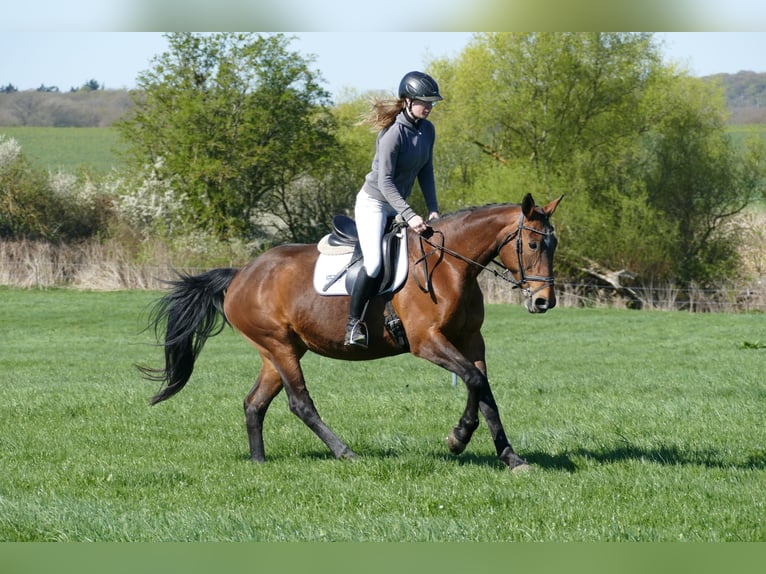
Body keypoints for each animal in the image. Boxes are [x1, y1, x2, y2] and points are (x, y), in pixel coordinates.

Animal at [140, 193, 562, 471]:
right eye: (532, 243)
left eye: (554, 243)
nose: (545, 301)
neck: (451, 267)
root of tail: (242, 274)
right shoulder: (427, 342)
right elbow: (474, 381)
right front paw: (457, 438)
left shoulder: (471, 341)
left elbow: (485, 392)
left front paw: (510, 457)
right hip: (280, 347)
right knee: (300, 403)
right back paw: (345, 453)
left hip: (278, 351)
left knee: (254, 403)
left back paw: (259, 463)